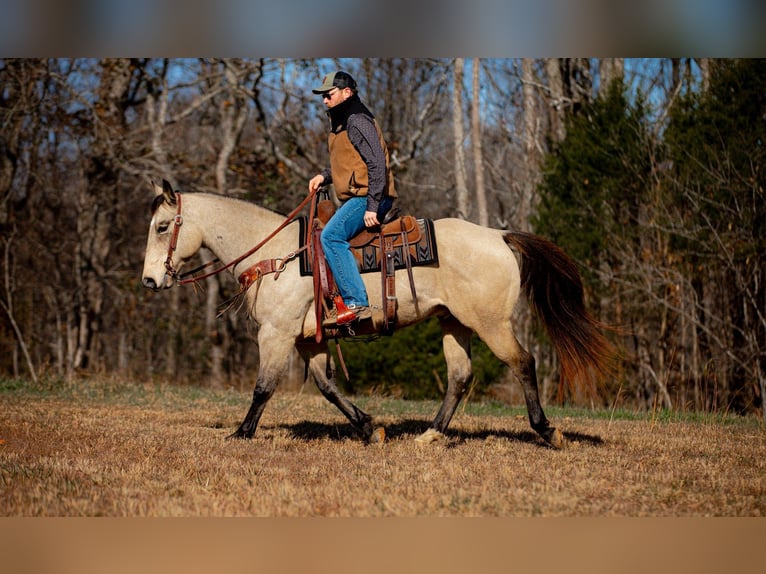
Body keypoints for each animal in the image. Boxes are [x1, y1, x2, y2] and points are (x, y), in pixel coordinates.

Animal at [141, 180, 614, 449]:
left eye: (163, 227)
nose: (149, 280)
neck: (276, 254)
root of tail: (498, 235)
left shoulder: (276, 334)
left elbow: (263, 388)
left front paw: (241, 433)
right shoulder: (309, 340)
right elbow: (327, 387)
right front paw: (371, 429)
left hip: (491, 324)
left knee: (522, 363)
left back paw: (548, 431)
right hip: (453, 323)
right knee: (460, 376)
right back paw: (431, 435)